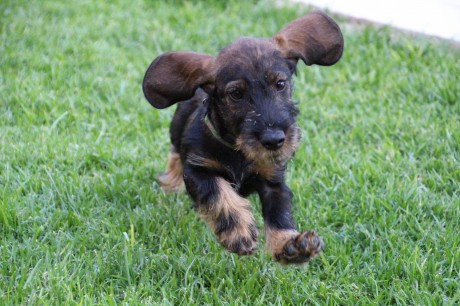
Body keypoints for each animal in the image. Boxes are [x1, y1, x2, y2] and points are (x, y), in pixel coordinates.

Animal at [142, 11, 344, 266]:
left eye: (280, 84)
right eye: (236, 94)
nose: (274, 140)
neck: (238, 150)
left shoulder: (273, 181)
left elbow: (280, 212)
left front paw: (291, 246)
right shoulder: (197, 170)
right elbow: (218, 192)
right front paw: (238, 232)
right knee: (175, 155)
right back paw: (170, 183)